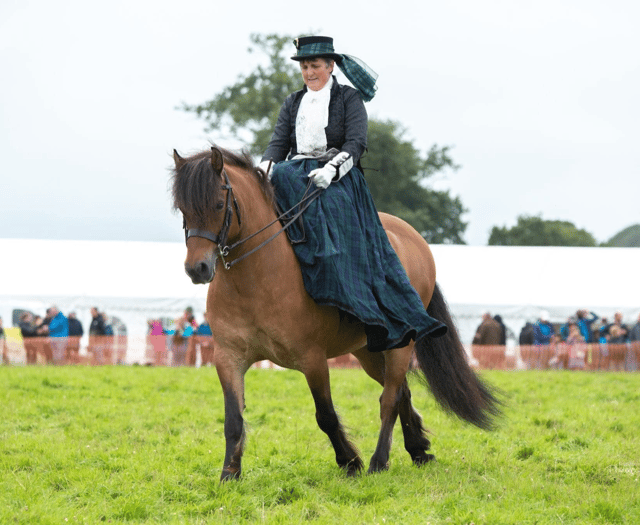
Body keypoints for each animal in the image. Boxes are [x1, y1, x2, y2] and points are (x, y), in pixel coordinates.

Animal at [171, 145, 500, 482]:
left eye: (218, 204)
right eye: (182, 209)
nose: (197, 269)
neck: (255, 278)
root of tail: (413, 237)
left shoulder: (312, 359)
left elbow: (326, 415)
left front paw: (350, 461)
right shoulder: (228, 358)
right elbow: (233, 418)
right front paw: (230, 473)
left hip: (400, 345)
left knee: (390, 398)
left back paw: (379, 461)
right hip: (370, 351)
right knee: (403, 392)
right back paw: (418, 449)